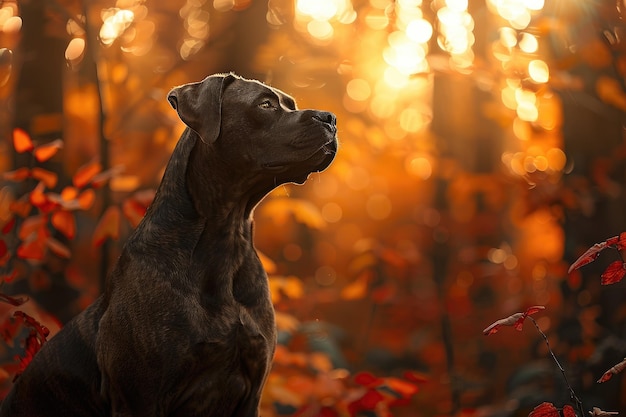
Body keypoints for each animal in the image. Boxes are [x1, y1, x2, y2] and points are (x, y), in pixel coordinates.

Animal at [0, 74, 338, 416]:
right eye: (265, 104)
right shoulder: (140, 396)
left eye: (290, 104)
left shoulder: (250, 392)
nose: (330, 118)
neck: (228, 236)